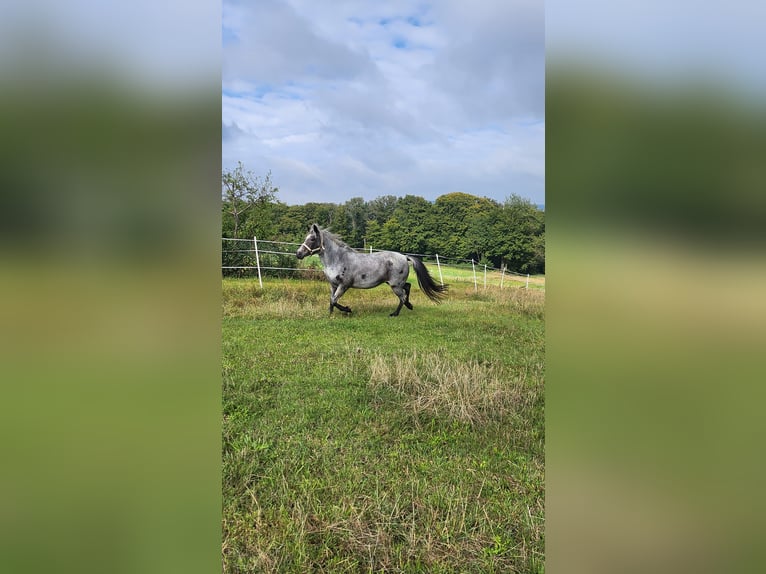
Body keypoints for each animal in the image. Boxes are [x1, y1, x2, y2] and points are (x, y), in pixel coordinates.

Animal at [296, 223, 448, 318]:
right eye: (306, 238)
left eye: (312, 239)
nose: (298, 254)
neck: (337, 259)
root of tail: (404, 257)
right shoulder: (333, 285)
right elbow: (331, 300)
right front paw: (330, 314)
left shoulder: (344, 285)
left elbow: (334, 300)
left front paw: (347, 309)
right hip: (394, 283)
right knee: (408, 287)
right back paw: (409, 306)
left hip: (395, 285)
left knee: (402, 296)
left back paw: (395, 313)